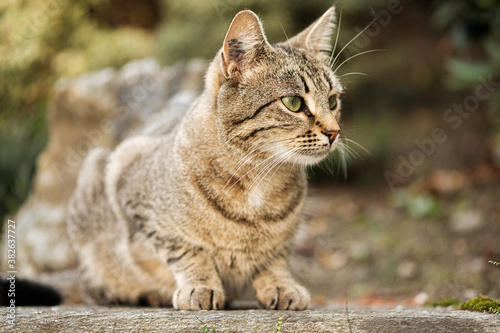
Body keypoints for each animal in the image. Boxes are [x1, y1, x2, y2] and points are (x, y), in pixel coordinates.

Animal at [66, 5, 342, 310]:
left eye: (332, 101)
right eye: (293, 103)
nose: (334, 132)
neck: (259, 179)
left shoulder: (284, 241)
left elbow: (274, 258)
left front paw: (280, 284)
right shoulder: (129, 179)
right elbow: (187, 252)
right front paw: (199, 285)